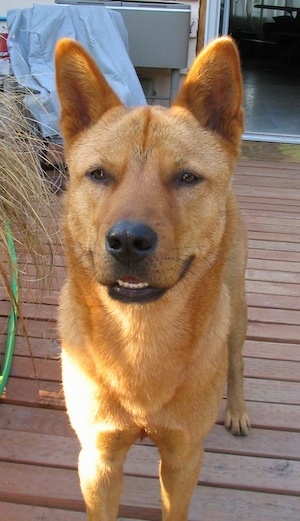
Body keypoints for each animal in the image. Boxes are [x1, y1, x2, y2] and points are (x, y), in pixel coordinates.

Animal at [55, 37, 250, 520]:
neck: (139, 335)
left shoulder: (183, 457)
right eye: (99, 174)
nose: (127, 240)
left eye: (187, 177)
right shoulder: (99, 460)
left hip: (237, 308)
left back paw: (237, 409)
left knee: (235, 361)